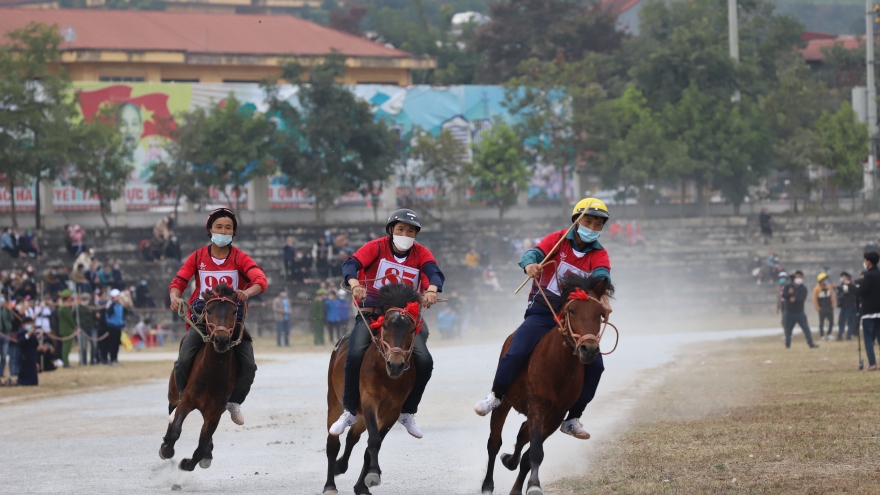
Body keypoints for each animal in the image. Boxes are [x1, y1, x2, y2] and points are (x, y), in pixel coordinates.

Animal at [157, 284, 246, 470]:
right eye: (209, 310)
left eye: (234, 311)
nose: (221, 340)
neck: (212, 373)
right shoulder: (187, 400)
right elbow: (175, 430)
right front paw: (166, 449)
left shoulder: (215, 412)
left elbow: (202, 444)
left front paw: (188, 463)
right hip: (173, 395)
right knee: (172, 415)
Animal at [324, 282, 422, 495]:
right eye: (384, 326)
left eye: (412, 329)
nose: (396, 364)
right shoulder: (369, 399)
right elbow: (374, 440)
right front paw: (373, 474)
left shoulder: (392, 410)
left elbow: (372, 444)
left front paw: (366, 480)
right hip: (334, 401)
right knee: (333, 443)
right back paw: (330, 484)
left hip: (361, 416)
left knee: (352, 437)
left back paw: (342, 467)